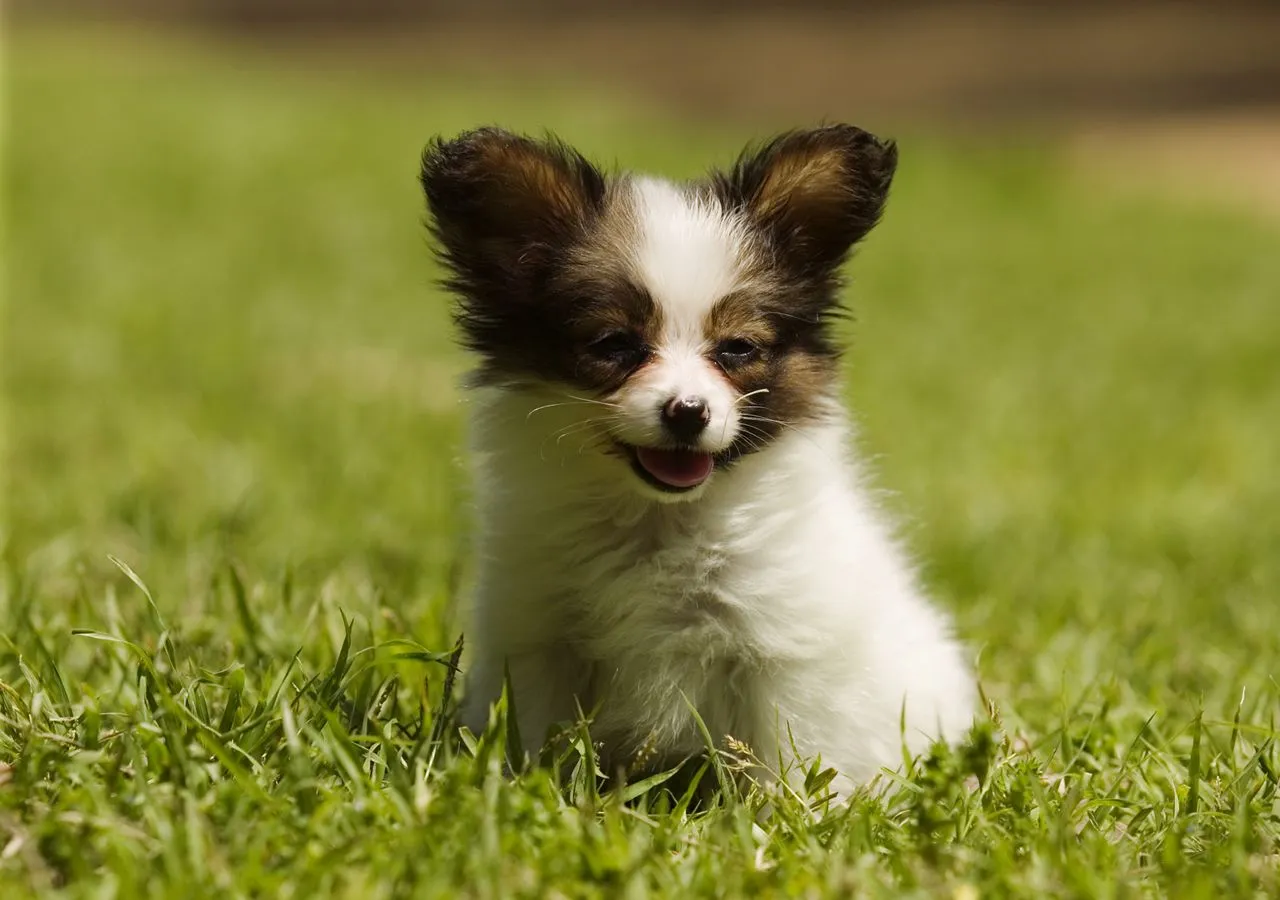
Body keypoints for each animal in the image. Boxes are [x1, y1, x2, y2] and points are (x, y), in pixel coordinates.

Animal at [419, 126, 967, 793]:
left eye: (737, 349)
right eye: (614, 345)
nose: (687, 411)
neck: (657, 522)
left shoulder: (783, 657)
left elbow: (787, 764)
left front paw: (786, 814)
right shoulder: (539, 640)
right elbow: (537, 738)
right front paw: (528, 793)